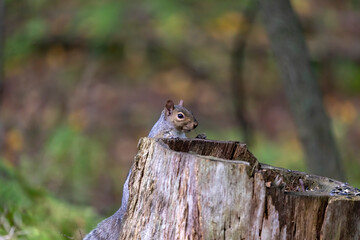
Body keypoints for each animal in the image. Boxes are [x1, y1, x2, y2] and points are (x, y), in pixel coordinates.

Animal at [83, 99, 198, 240]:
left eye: (191, 111)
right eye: (180, 116)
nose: (195, 124)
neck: (176, 131)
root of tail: (123, 208)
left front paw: (201, 136)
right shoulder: (157, 136)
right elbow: (162, 137)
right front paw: (172, 137)